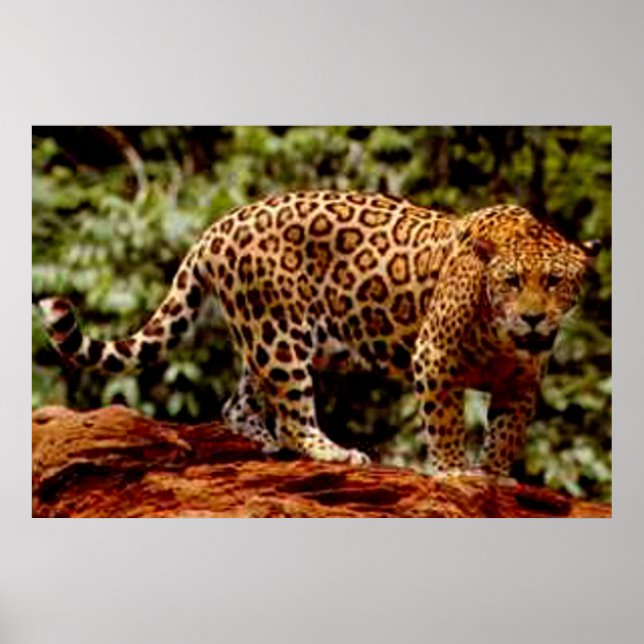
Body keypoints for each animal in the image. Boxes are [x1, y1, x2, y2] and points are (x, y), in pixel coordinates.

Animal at [39, 190, 599, 477]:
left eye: (554, 282)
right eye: (511, 282)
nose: (532, 318)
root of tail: (217, 226)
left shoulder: (521, 382)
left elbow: (507, 432)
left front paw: (494, 475)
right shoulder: (434, 357)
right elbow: (445, 423)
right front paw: (454, 471)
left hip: (267, 336)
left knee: (237, 404)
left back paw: (265, 445)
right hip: (280, 335)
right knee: (292, 415)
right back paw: (331, 451)